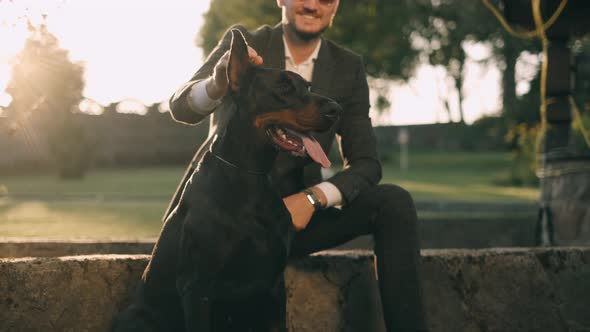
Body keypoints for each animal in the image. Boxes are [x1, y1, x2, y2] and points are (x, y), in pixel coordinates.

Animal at [113, 29, 342, 332]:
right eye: (282, 88)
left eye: (308, 85)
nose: (336, 109)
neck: (249, 175)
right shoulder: (197, 287)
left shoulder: (273, 286)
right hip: (138, 318)